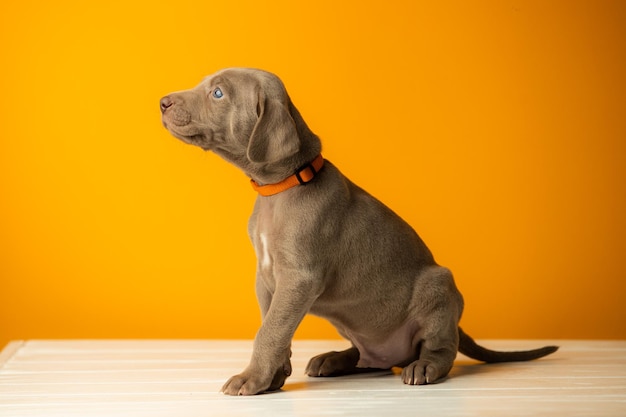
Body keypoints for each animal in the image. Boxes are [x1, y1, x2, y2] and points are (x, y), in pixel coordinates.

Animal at [160, 67, 556, 394]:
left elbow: (270, 331)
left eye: (218, 93)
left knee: (442, 349)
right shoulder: (267, 278)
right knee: (369, 358)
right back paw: (334, 359)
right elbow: (273, 326)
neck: (281, 188)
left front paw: (252, 379)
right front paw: (272, 378)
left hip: (439, 286)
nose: (162, 102)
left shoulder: (298, 278)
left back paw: (424, 367)